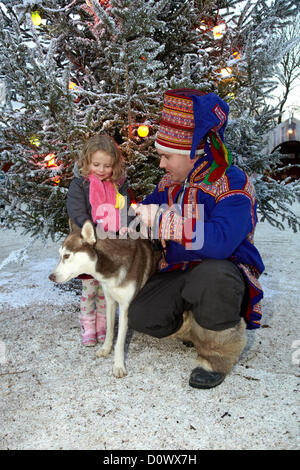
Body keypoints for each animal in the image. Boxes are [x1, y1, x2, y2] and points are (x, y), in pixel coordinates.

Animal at [49, 220, 159, 378]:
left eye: (67, 256)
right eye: (60, 255)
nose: (50, 277)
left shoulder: (125, 307)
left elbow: (120, 342)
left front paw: (118, 366)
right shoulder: (110, 300)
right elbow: (109, 329)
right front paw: (106, 348)